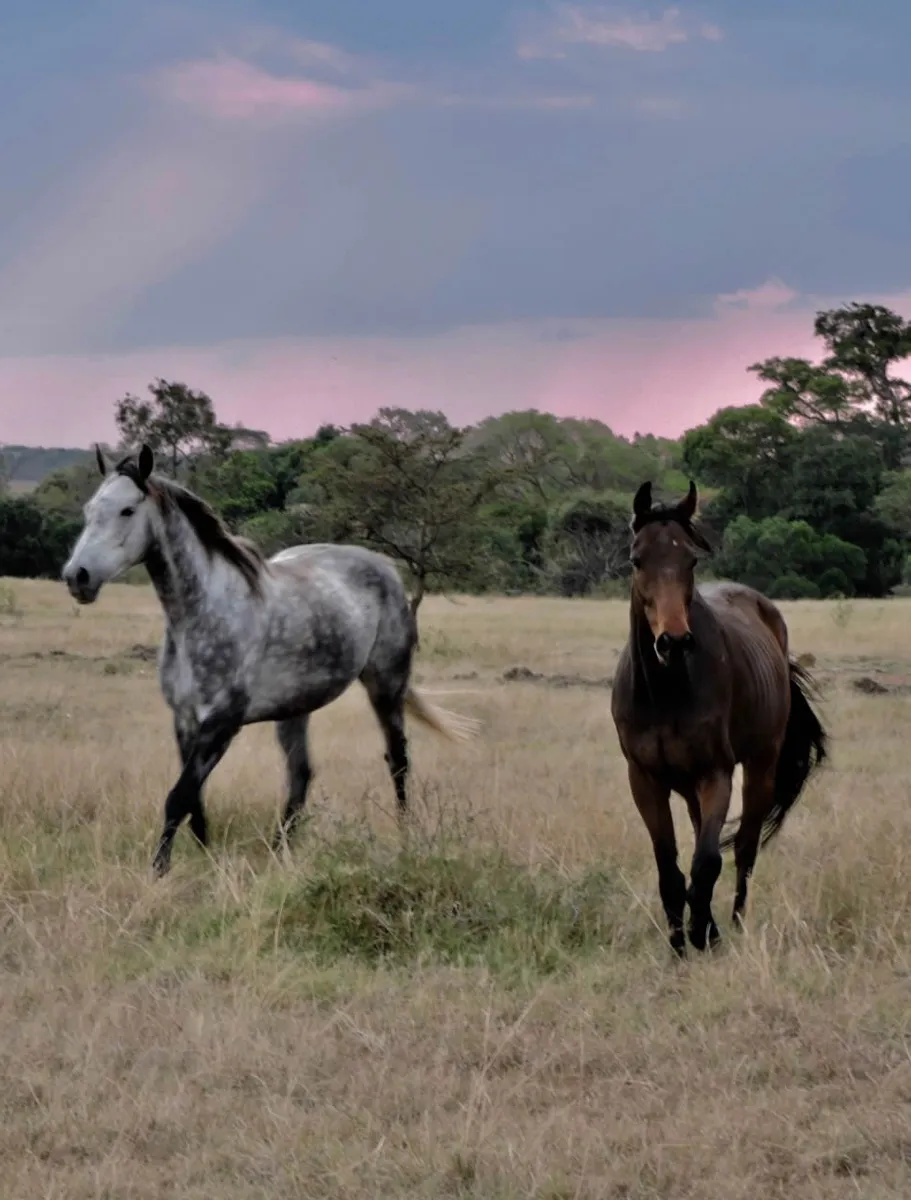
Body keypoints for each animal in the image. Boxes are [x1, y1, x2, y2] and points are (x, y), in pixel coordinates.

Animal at [62, 444, 480, 876]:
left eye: (127, 510)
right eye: (89, 509)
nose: (77, 576)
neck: (203, 613)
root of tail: (385, 567)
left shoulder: (222, 725)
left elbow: (178, 797)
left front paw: (160, 872)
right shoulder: (185, 721)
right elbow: (195, 800)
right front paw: (206, 859)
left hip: (386, 686)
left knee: (397, 759)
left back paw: (405, 837)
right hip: (295, 710)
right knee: (301, 776)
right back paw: (281, 853)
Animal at [610, 480, 827, 956]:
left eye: (690, 559)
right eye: (637, 559)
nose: (673, 642)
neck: (665, 693)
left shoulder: (717, 773)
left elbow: (707, 861)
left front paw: (702, 935)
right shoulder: (644, 780)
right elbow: (671, 869)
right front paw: (679, 944)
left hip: (759, 767)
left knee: (745, 849)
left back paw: (735, 923)